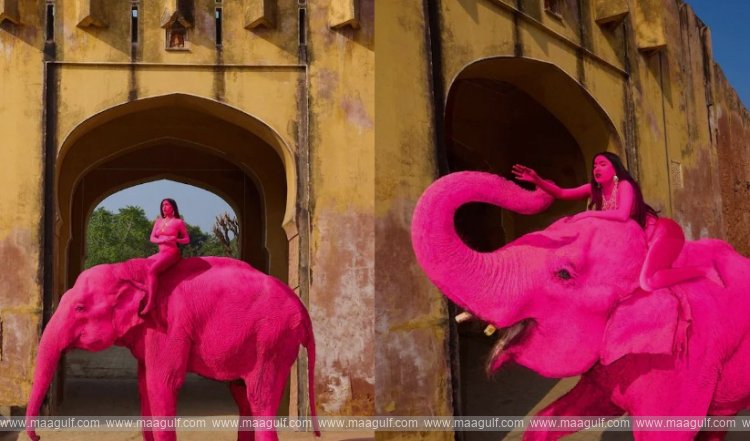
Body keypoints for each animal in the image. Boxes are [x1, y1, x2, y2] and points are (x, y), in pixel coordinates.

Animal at [25, 256, 319, 441]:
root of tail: (304, 311)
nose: (38, 436)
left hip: (273, 340)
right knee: (242, 396)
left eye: (79, 308)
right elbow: (144, 385)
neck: (131, 270)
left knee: (259, 398)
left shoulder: (168, 327)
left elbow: (162, 383)